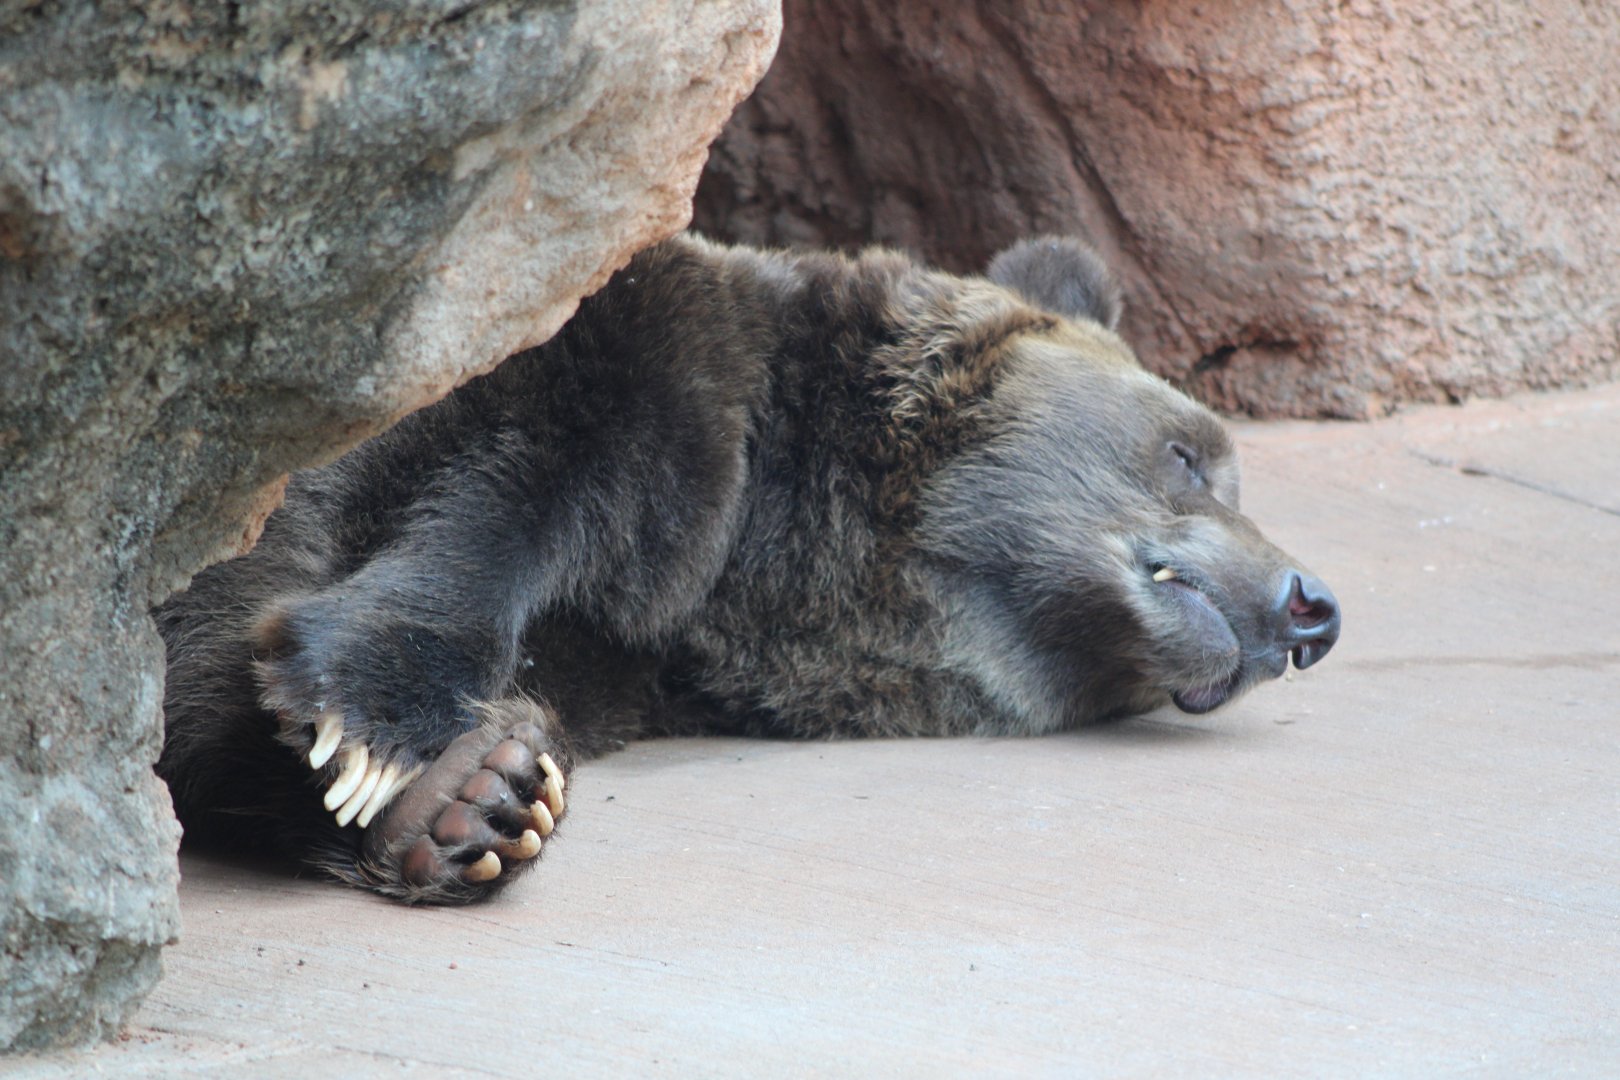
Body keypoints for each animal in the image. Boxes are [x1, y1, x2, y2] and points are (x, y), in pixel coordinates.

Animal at [154, 234, 1341, 904]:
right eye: (1191, 453)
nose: (1311, 607)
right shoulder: (635, 365)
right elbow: (521, 465)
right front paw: (384, 718)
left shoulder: (623, 655)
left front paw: (475, 798)